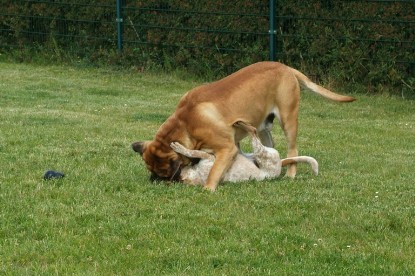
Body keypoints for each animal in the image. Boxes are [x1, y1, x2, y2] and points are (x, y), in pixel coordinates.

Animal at [132, 62, 356, 192]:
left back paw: (290, 174)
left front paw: (209, 188)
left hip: (288, 119)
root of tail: (285, 67)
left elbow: (214, 172)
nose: (153, 180)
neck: (186, 123)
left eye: (163, 172)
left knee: (292, 149)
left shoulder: (226, 149)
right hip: (265, 127)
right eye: (150, 169)